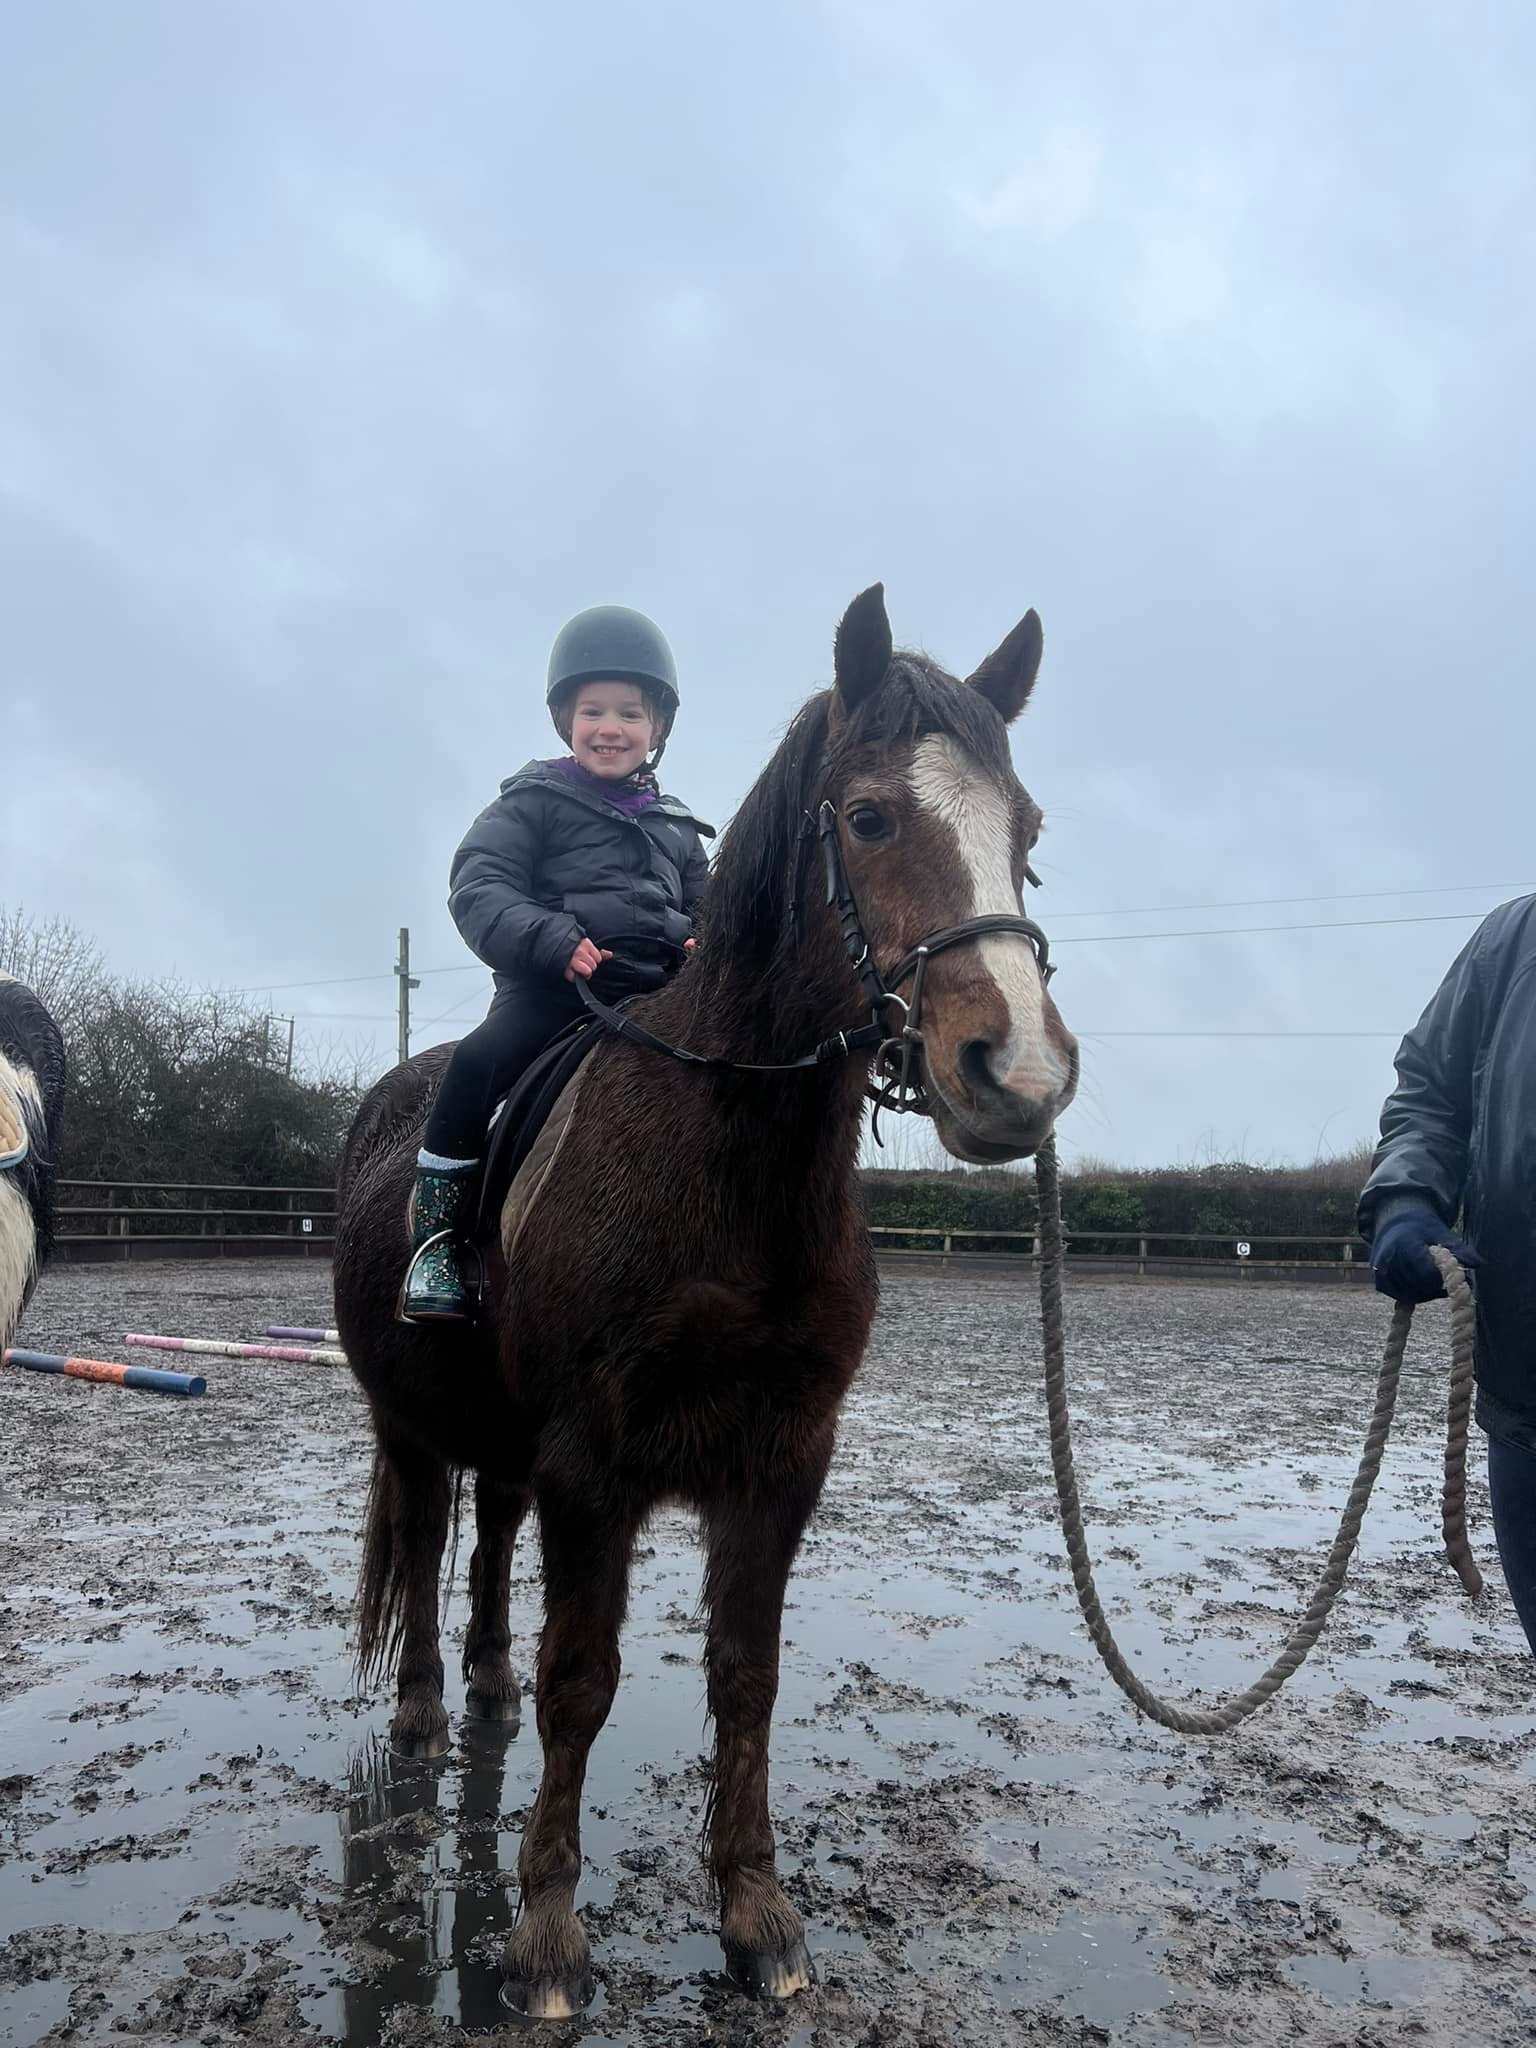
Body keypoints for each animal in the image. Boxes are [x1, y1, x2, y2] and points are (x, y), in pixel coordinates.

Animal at [331, 584, 1078, 2016]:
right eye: (870, 817)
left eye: (1027, 830)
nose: (1018, 1073)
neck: (726, 1157)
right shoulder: (593, 1462)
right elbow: (583, 1679)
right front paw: (547, 1932)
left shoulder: (781, 1458)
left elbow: (747, 1676)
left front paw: (753, 1909)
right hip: (416, 1426)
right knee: (428, 1533)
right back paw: (423, 1705)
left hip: (508, 1446)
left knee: (489, 1545)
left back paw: (482, 1682)